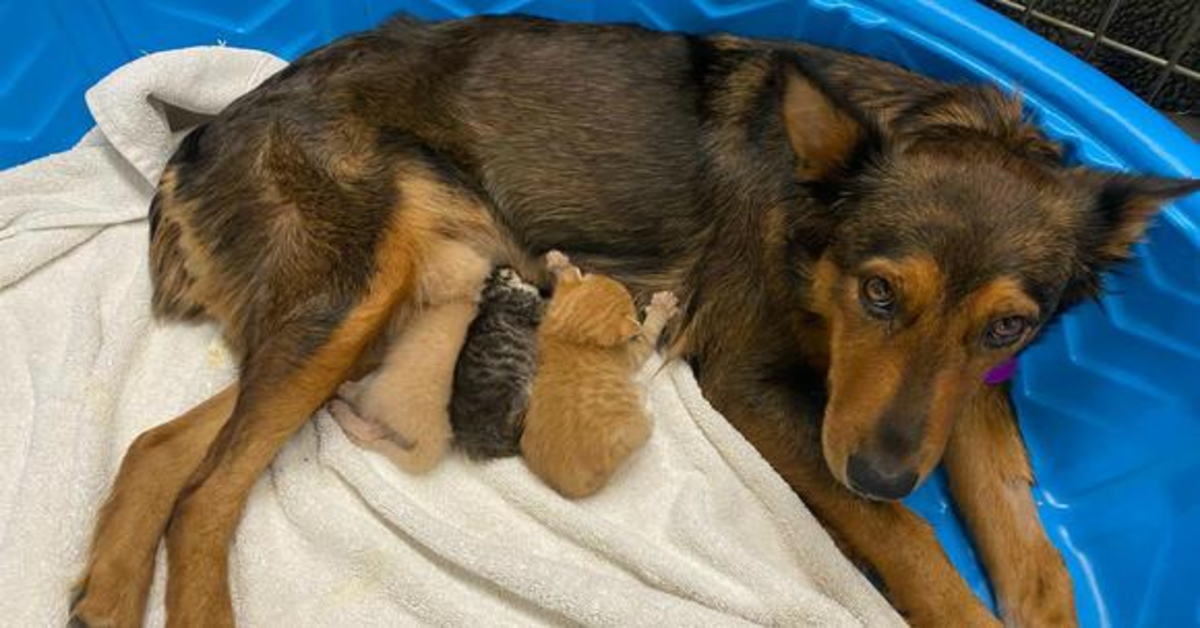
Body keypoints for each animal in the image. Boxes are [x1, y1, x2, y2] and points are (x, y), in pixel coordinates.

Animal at [520, 253, 681, 499]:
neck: (569, 337)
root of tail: (571, 487)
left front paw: (559, 264)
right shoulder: (631, 354)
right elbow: (648, 334)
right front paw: (661, 308)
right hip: (636, 428)